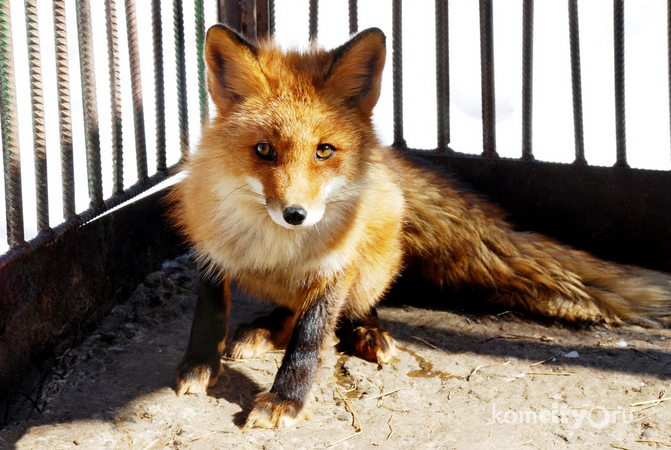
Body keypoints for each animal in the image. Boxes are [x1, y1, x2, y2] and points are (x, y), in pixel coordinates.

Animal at [169, 24, 671, 428]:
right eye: (264, 150)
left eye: (324, 151)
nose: (296, 214)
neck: (278, 245)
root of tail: (385, 164)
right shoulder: (209, 247)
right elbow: (210, 313)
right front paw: (198, 367)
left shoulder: (336, 264)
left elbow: (311, 338)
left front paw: (285, 400)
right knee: (288, 312)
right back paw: (265, 329)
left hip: (375, 261)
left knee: (349, 310)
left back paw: (367, 332)